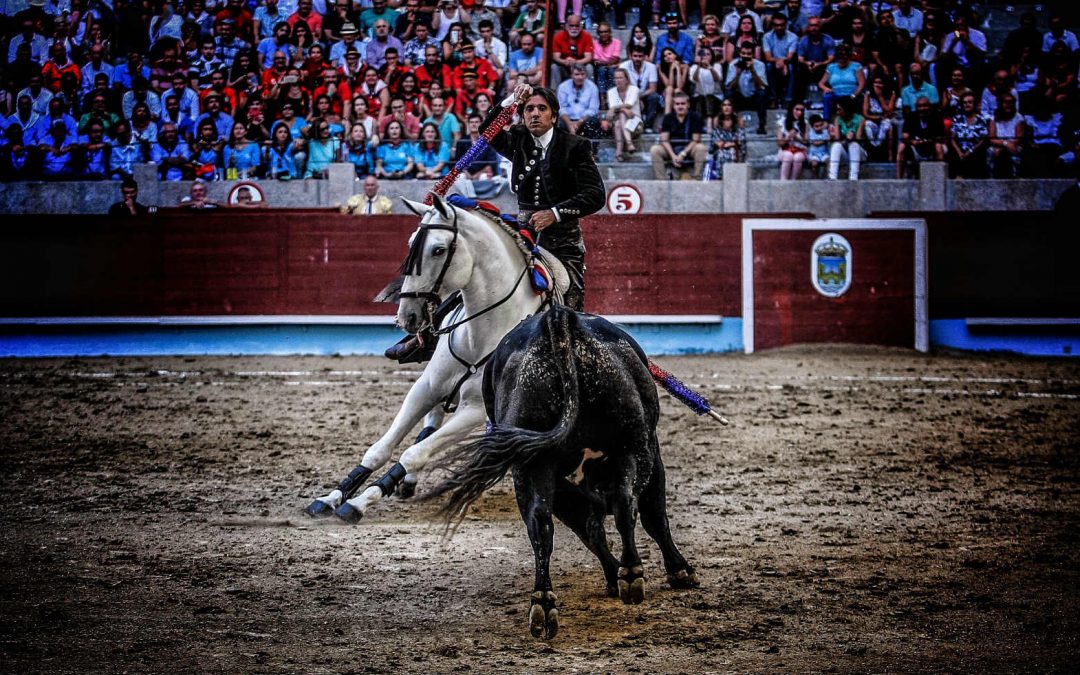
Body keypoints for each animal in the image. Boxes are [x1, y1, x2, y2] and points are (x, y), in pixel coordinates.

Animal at [306, 194, 565, 520]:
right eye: (411, 243)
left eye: (438, 249)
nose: (406, 316)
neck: (481, 332)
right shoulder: (426, 387)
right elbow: (381, 448)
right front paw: (331, 498)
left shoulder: (474, 410)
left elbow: (414, 453)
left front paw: (359, 501)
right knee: (430, 424)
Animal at [429, 304, 699, 635]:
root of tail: (557, 320)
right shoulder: (652, 451)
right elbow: (652, 517)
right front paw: (678, 571)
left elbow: (588, 529)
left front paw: (614, 575)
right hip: (635, 446)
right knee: (628, 505)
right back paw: (630, 574)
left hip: (533, 463)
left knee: (542, 523)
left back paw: (544, 603)